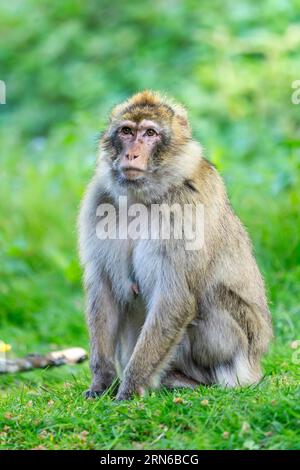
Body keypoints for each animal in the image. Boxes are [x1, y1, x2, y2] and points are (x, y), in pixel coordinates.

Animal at [78, 89, 274, 400]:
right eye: (126, 131)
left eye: (150, 133)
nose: (131, 153)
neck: (144, 197)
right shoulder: (98, 199)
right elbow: (105, 288)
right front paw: (101, 382)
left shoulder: (187, 207)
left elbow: (176, 296)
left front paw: (130, 389)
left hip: (236, 354)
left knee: (211, 298)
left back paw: (188, 382)